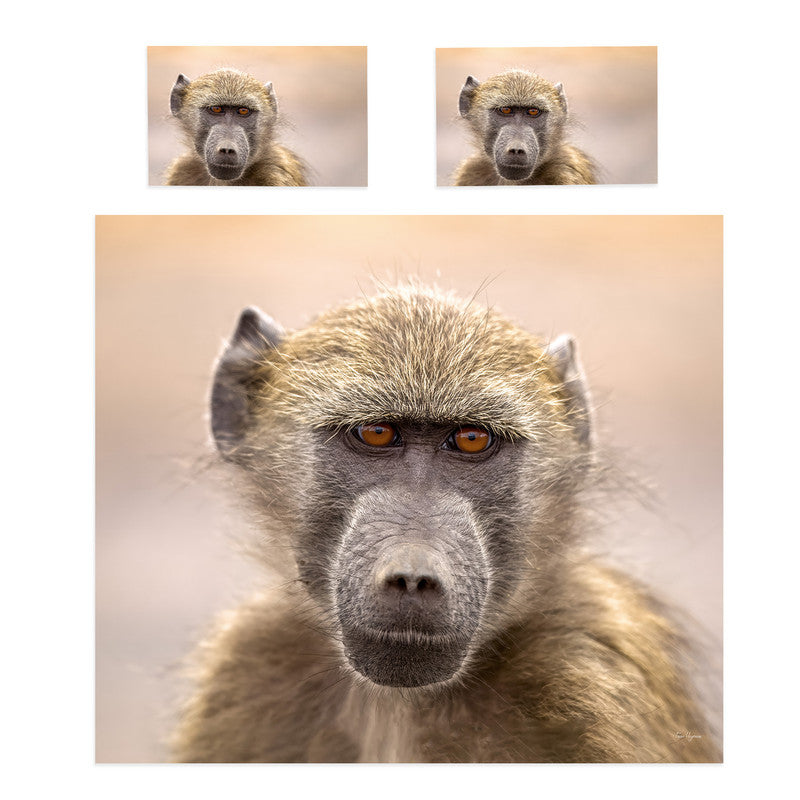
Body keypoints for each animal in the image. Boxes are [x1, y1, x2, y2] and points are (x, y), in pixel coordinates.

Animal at [172, 284, 719, 763]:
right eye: (376, 433)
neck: (394, 704)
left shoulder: (588, 674)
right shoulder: (249, 664)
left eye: (472, 439)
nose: (413, 577)